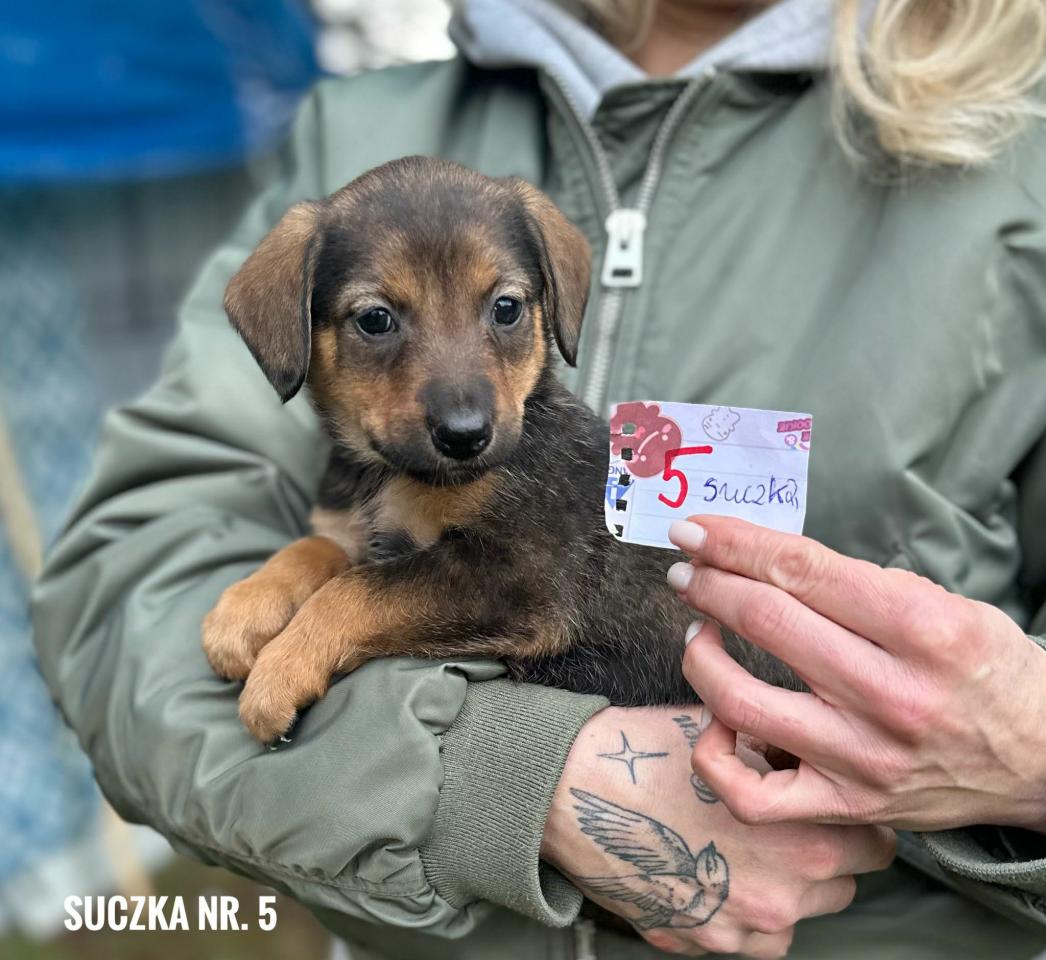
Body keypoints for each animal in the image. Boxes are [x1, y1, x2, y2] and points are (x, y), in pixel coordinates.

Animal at [202, 156, 796, 743]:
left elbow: (359, 590)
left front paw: (280, 670)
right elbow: (314, 548)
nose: (465, 435)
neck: (393, 475)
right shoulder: (359, 531)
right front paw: (246, 607)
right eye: (374, 319)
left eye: (505, 307)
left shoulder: (517, 575)